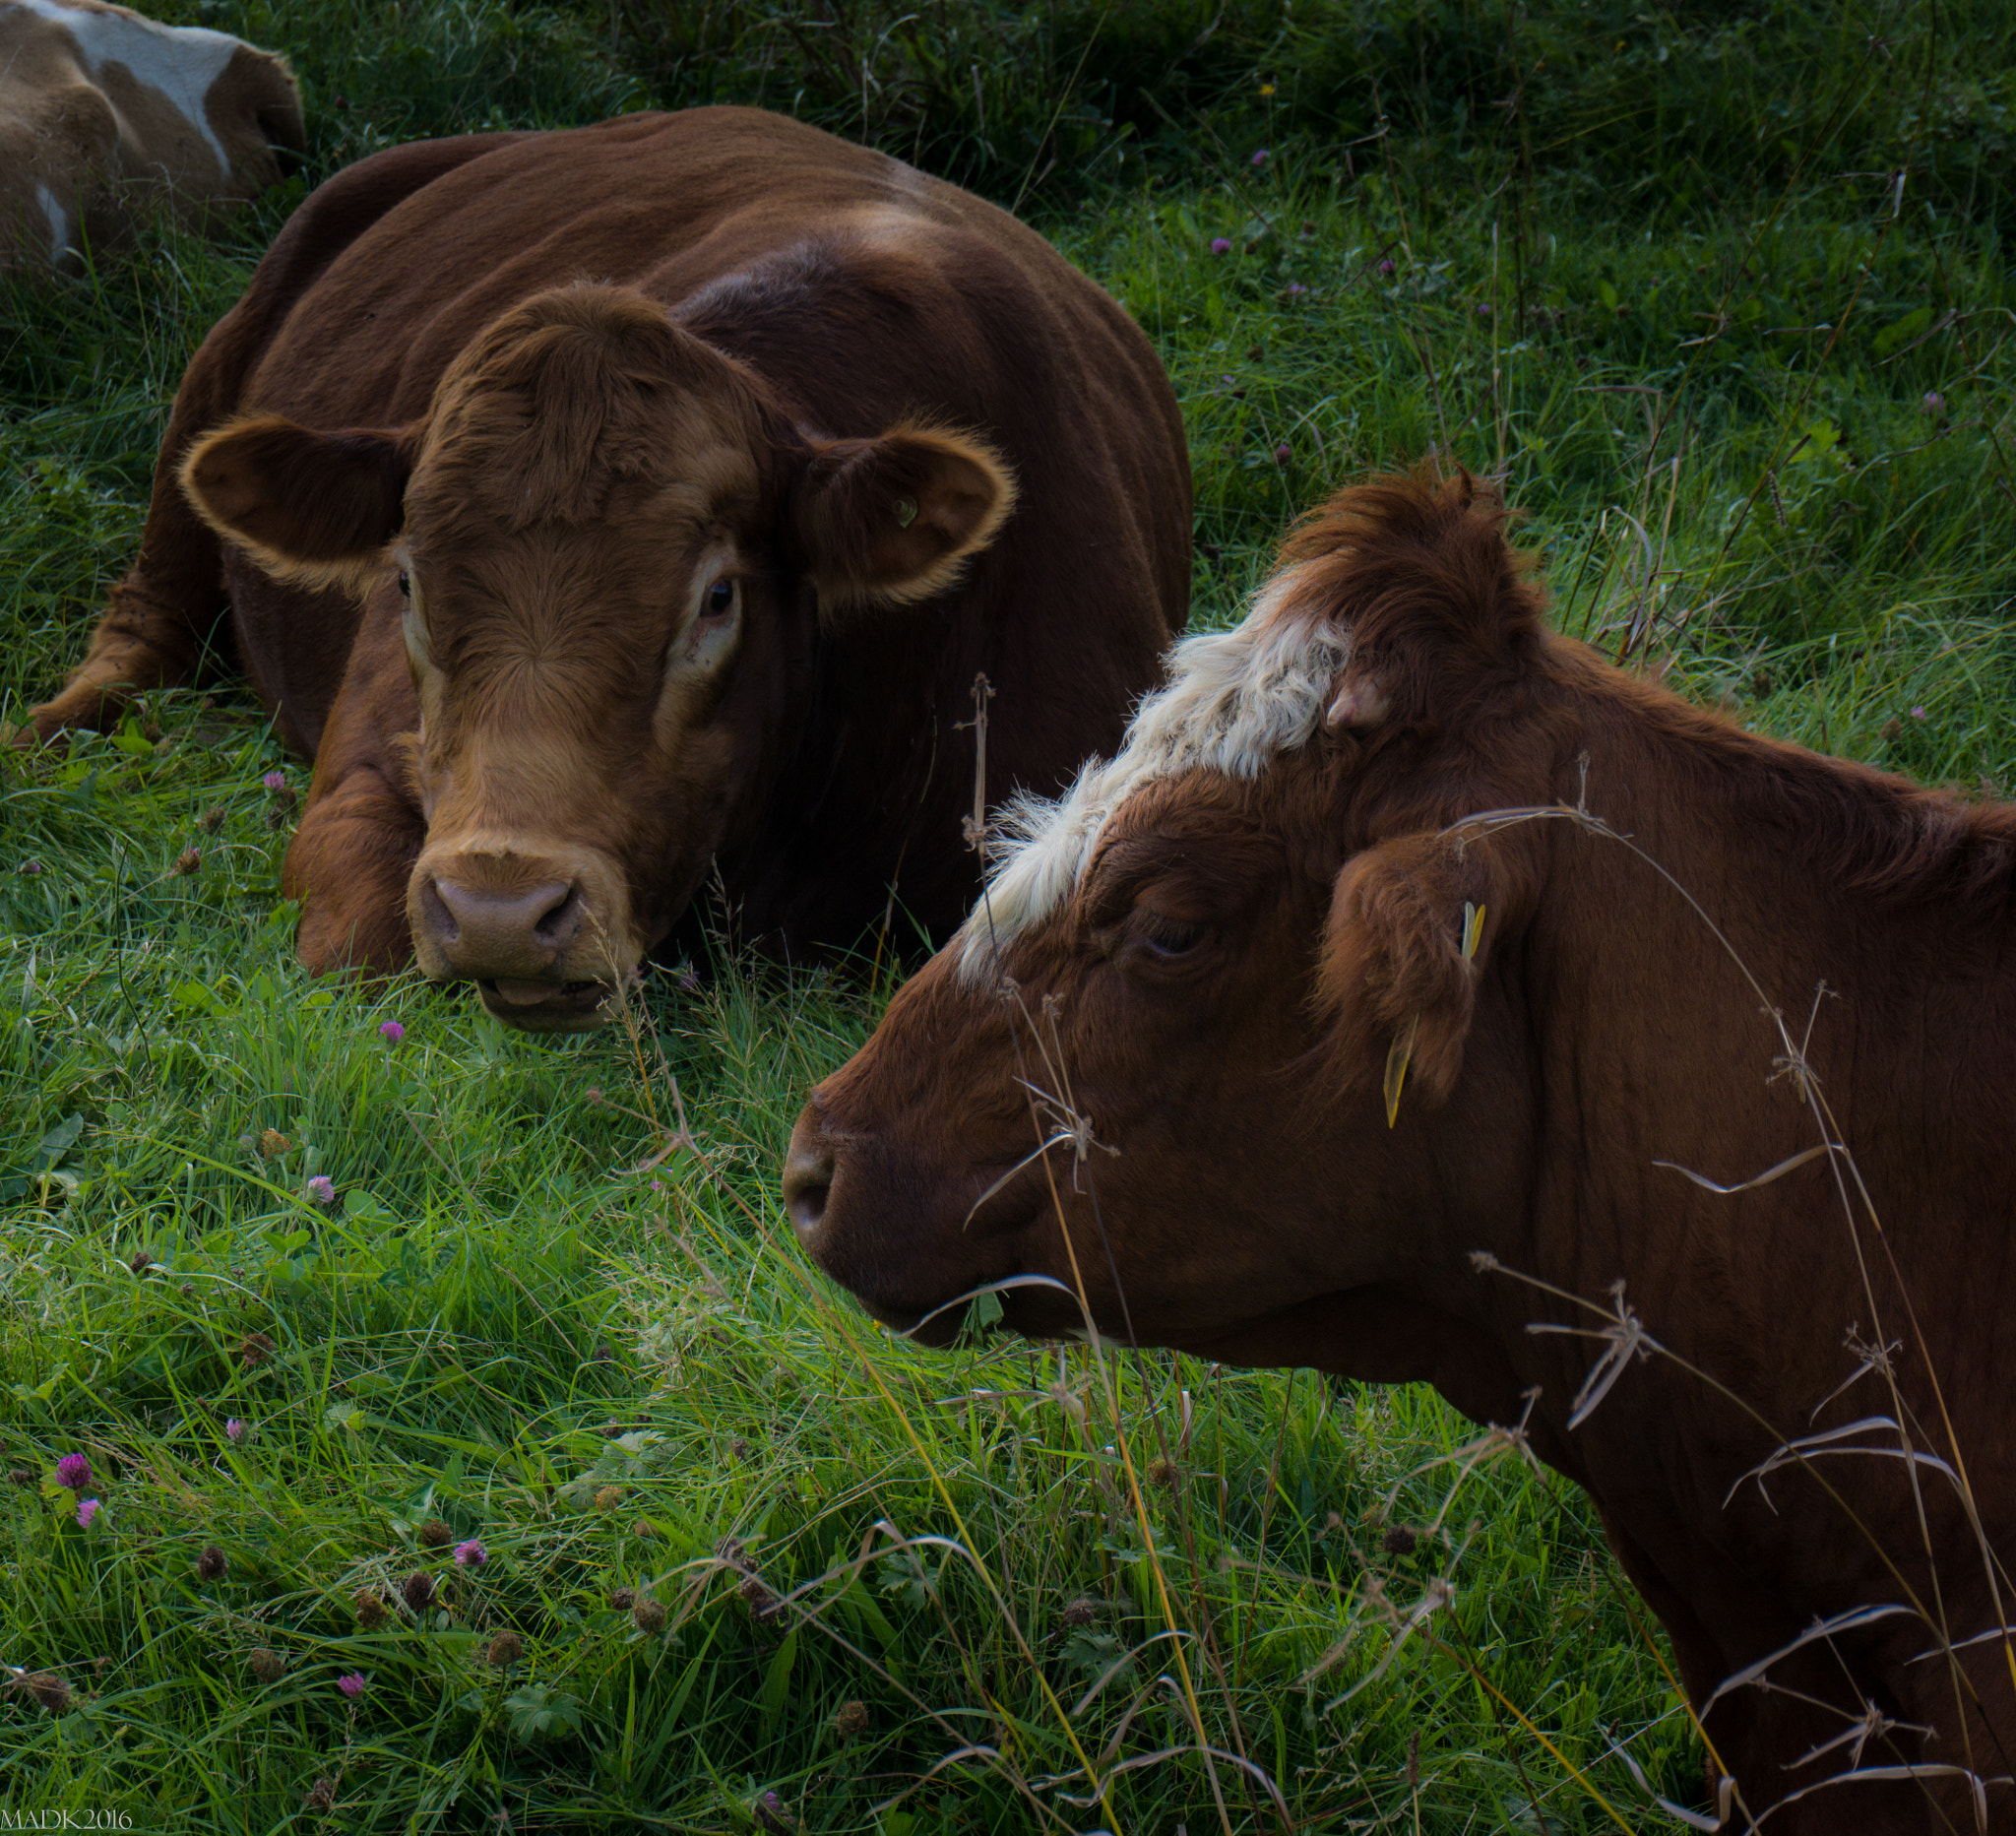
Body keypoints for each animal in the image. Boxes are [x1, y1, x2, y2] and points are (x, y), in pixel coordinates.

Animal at [21, 107, 1190, 1030]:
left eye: (716, 598)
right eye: (405, 584)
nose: (501, 913)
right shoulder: (361, 771)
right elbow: (365, 950)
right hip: (216, 370)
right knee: (146, 614)